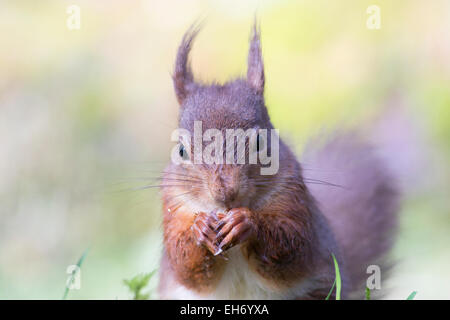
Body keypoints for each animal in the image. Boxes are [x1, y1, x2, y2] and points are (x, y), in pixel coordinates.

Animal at [157, 25, 398, 300]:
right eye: (181, 150)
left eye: (260, 141)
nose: (226, 193)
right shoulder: (174, 206)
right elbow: (186, 265)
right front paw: (200, 227)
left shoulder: (293, 196)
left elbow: (293, 246)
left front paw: (246, 223)